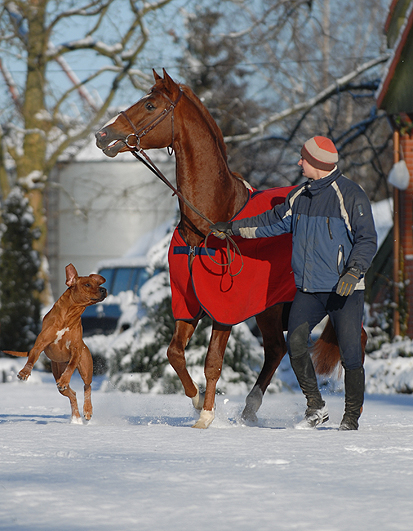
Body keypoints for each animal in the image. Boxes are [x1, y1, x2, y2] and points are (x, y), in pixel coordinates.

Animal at [4, 263, 107, 423]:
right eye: (88, 284)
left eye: (98, 283)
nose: (104, 289)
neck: (69, 316)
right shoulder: (40, 344)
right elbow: (31, 360)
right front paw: (24, 373)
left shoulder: (76, 350)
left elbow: (71, 367)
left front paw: (66, 379)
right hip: (57, 370)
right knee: (71, 393)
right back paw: (76, 418)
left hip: (85, 366)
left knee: (87, 386)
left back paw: (87, 411)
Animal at [95, 69, 344, 428]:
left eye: (150, 105)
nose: (102, 135)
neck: (210, 221)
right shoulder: (188, 305)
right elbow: (174, 353)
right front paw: (197, 400)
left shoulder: (224, 310)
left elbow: (212, 361)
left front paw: (207, 415)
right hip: (269, 309)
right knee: (276, 350)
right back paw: (249, 410)